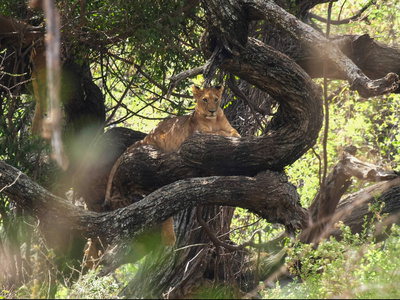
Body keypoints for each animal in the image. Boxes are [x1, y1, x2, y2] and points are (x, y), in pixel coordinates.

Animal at [104, 84, 241, 246]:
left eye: (216, 99)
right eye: (205, 100)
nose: (212, 110)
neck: (213, 120)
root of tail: (145, 138)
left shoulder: (228, 127)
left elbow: (234, 132)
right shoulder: (199, 134)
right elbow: (220, 133)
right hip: (159, 141)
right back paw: (169, 237)